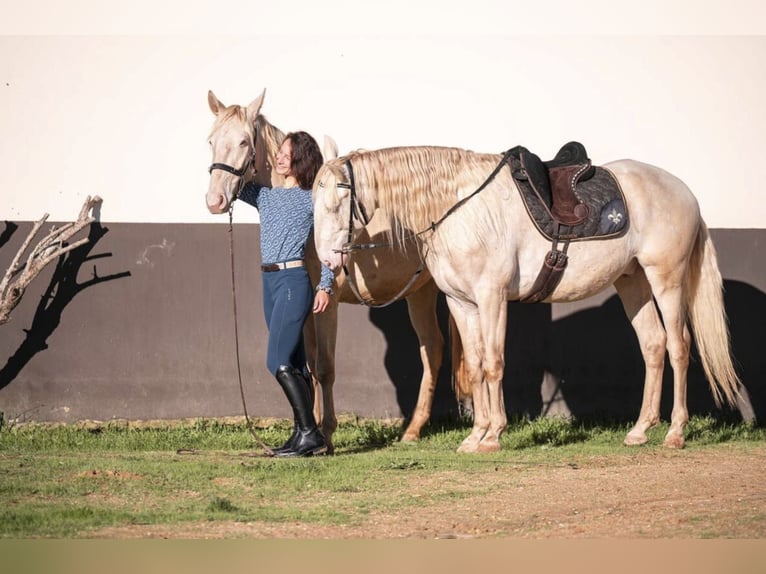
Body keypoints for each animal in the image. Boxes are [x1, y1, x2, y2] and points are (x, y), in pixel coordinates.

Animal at [205, 90, 469, 452]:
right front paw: (311, 430)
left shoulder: (325, 303)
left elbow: (326, 367)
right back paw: (414, 429)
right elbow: (309, 367)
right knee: (433, 347)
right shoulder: (303, 310)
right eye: (211, 140)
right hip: (420, 290)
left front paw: (326, 435)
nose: (215, 200)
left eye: (244, 141)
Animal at [312, 144, 742, 453]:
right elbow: (474, 366)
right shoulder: (460, 303)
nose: (328, 263)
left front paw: (493, 436)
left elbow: (493, 363)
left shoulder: (492, 297)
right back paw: (639, 430)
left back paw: (675, 432)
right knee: (653, 346)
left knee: (679, 347)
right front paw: (475, 436)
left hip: (666, 279)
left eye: (338, 203)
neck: (462, 209)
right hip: (631, 280)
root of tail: (683, 191)